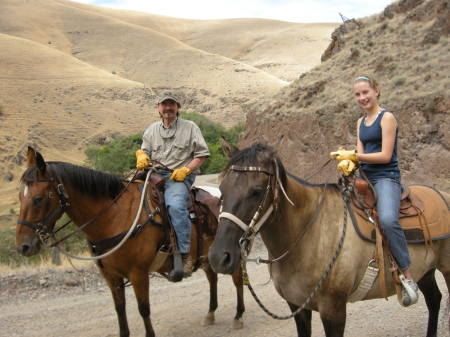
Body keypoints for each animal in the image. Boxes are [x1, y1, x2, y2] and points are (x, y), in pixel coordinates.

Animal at [15, 147, 246, 336]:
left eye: (38, 199)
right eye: (20, 196)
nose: (23, 246)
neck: (114, 217)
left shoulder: (138, 273)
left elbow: (143, 309)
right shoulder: (111, 277)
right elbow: (120, 310)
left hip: (229, 253)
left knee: (237, 279)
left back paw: (238, 316)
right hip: (208, 256)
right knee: (212, 278)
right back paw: (210, 313)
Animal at [209, 141, 448, 336]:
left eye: (257, 191)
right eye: (221, 189)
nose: (219, 257)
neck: (308, 235)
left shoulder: (333, 311)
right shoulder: (297, 307)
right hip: (425, 271)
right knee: (434, 300)